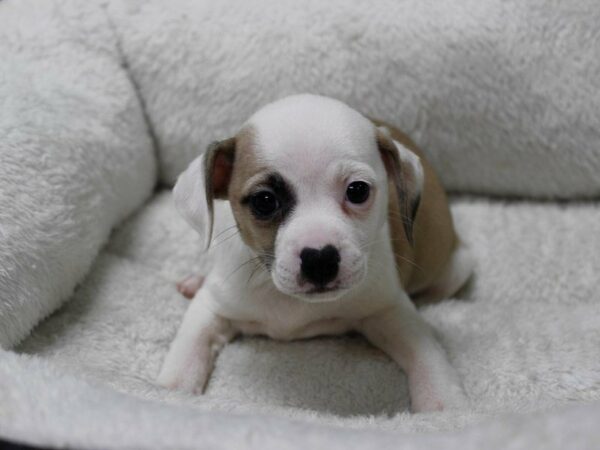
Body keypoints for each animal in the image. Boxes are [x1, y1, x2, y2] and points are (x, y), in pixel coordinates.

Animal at [158, 94, 474, 412]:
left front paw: (444, 405)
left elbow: (425, 355)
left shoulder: (389, 308)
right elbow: (188, 351)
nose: (320, 259)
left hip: (455, 270)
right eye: (264, 201)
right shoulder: (212, 306)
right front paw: (172, 391)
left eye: (357, 190)